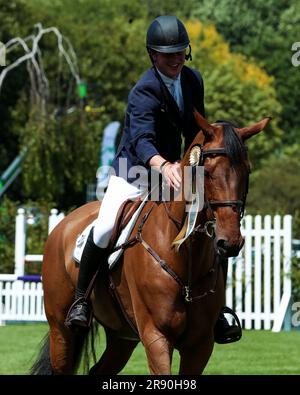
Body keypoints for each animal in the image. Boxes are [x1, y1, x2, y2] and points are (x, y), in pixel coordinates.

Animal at [30, 112, 270, 378]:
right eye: (206, 172)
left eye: (247, 170)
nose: (230, 242)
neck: (185, 253)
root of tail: (63, 224)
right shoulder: (156, 335)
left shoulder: (200, 345)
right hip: (61, 330)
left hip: (122, 337)